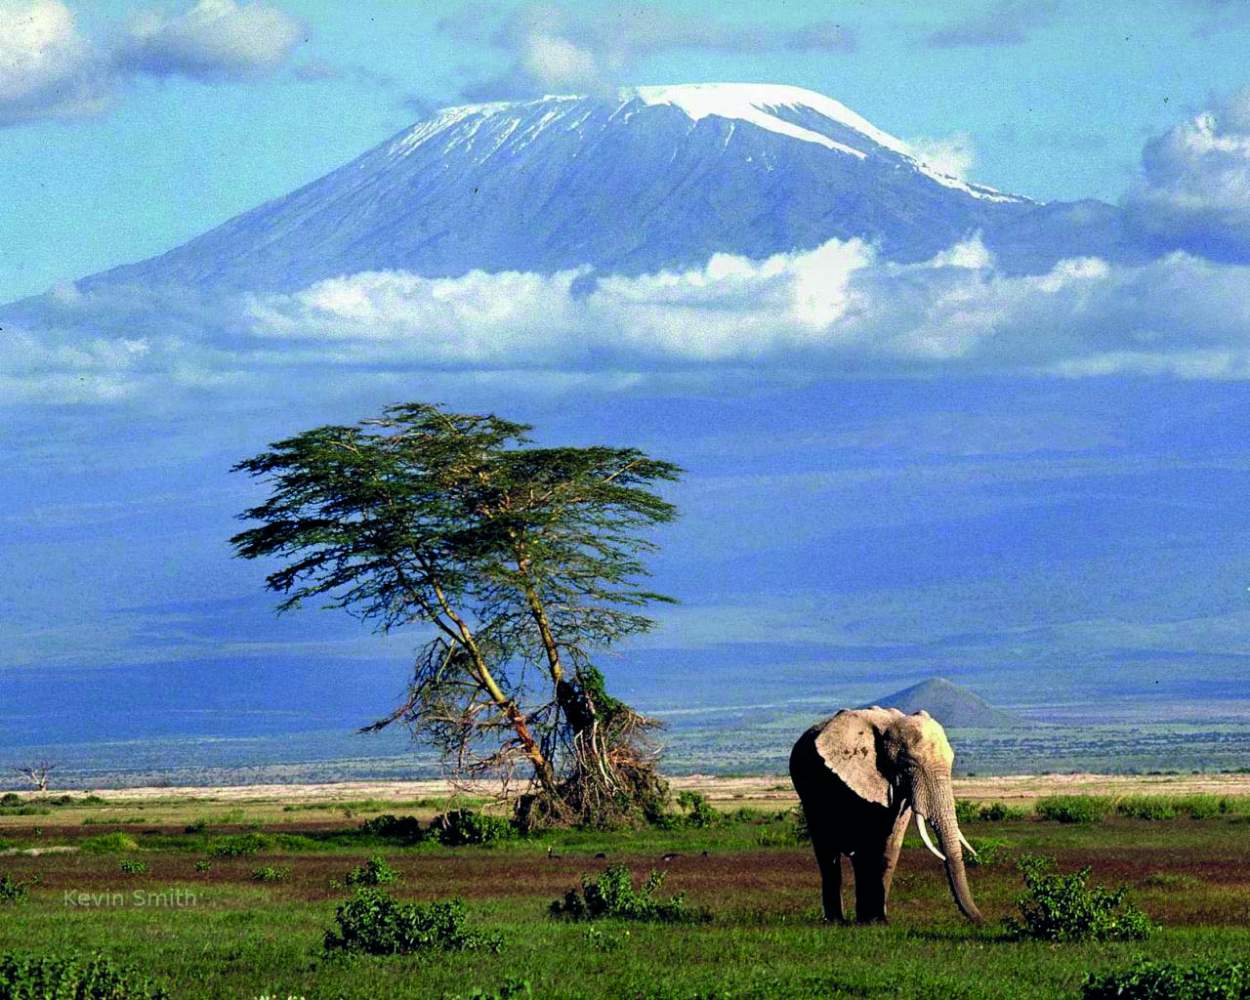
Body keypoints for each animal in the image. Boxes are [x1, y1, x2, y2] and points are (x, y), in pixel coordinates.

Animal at [790, 705, 985, 925]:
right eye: (909, 766)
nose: (981, 920)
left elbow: (891, 842)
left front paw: (878, 921)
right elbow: (866, 841)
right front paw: (872, 921)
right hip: (807, 790)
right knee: (826, 850)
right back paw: (836, 922)